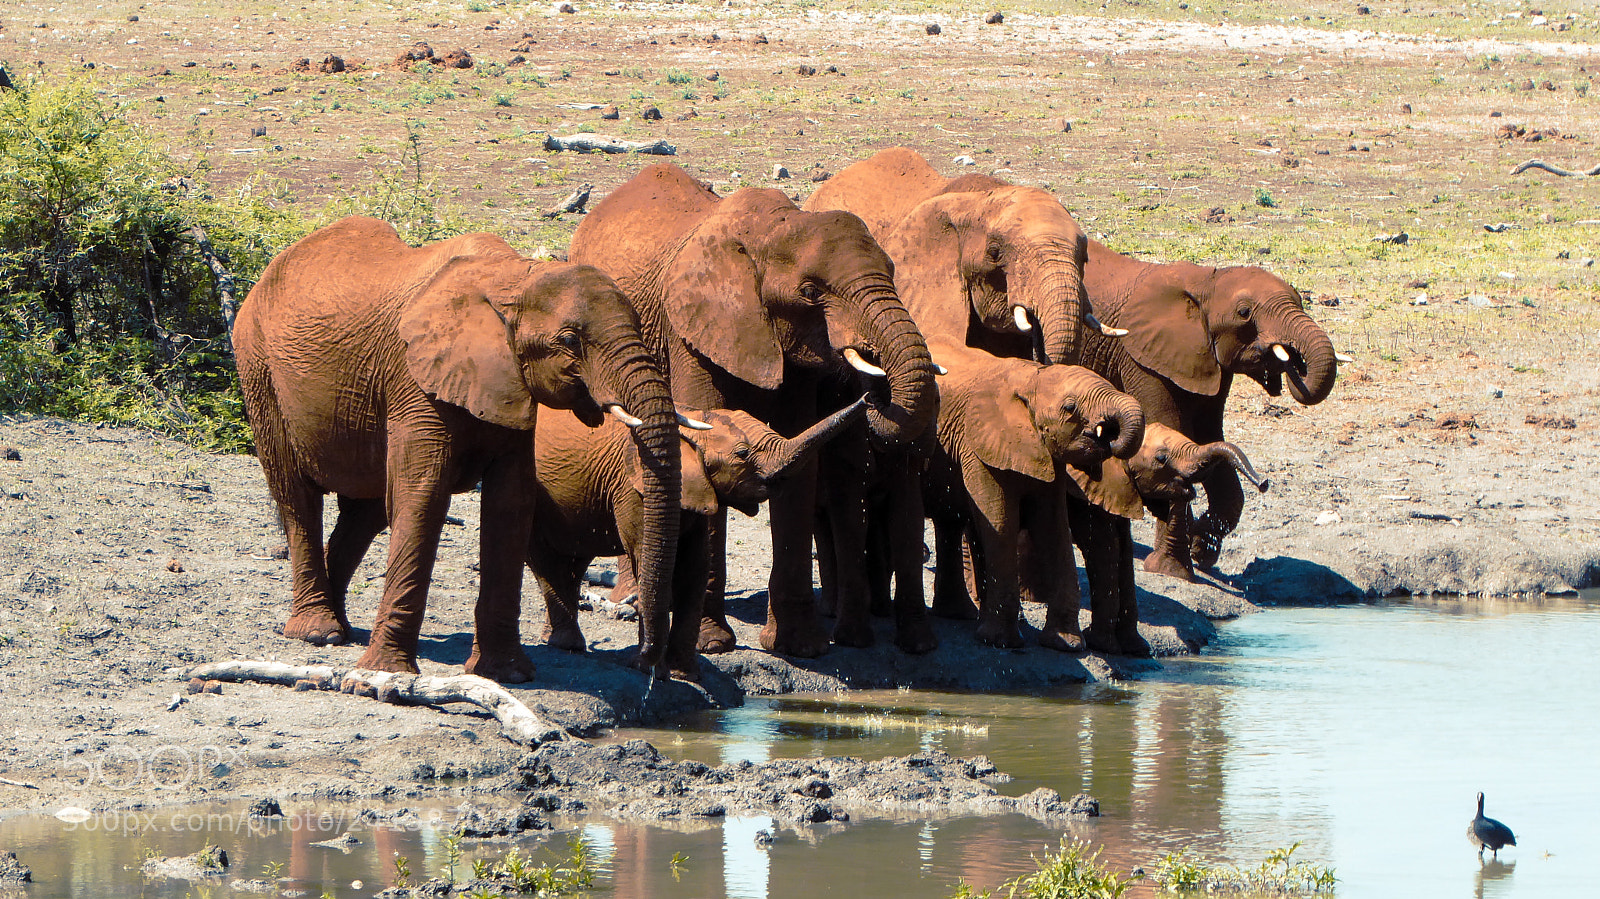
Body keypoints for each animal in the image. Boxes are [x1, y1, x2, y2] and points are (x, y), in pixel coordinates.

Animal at [531, 395, 870, 675]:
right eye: (743, 454)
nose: (868, 397)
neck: (690, 421)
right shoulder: (632, 489)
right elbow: (653, 562)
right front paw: (647, 668)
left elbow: (694, 566)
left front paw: (683, 673)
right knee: (548, 558)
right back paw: (567, 644)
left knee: (572, 561)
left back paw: (561, 642)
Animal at [569, 164, 934, 655]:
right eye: (810, 291)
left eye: (893, 272)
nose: (870, 394)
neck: (772, 231)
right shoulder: (691, 330)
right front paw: (711, 644)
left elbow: (799, 457)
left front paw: (799, 647)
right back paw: (630, 597)